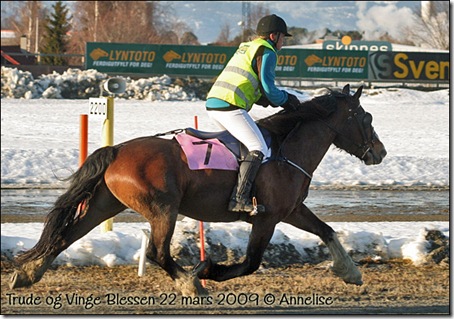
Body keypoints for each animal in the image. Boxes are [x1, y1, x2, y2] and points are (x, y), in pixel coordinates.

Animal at [9, 84, 386, 296]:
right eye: (366, 118)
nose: (379, 152)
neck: (284, 147)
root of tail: (117, 149)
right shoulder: (267, 219)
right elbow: (250, 262)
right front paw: (209, 270)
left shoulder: (291, 210)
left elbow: (327, 230)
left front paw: (350, 272)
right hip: (163, 209)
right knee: (157, 252)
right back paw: (191, 283)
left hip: (104, 205)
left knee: (65, 236)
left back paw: (27, 274)